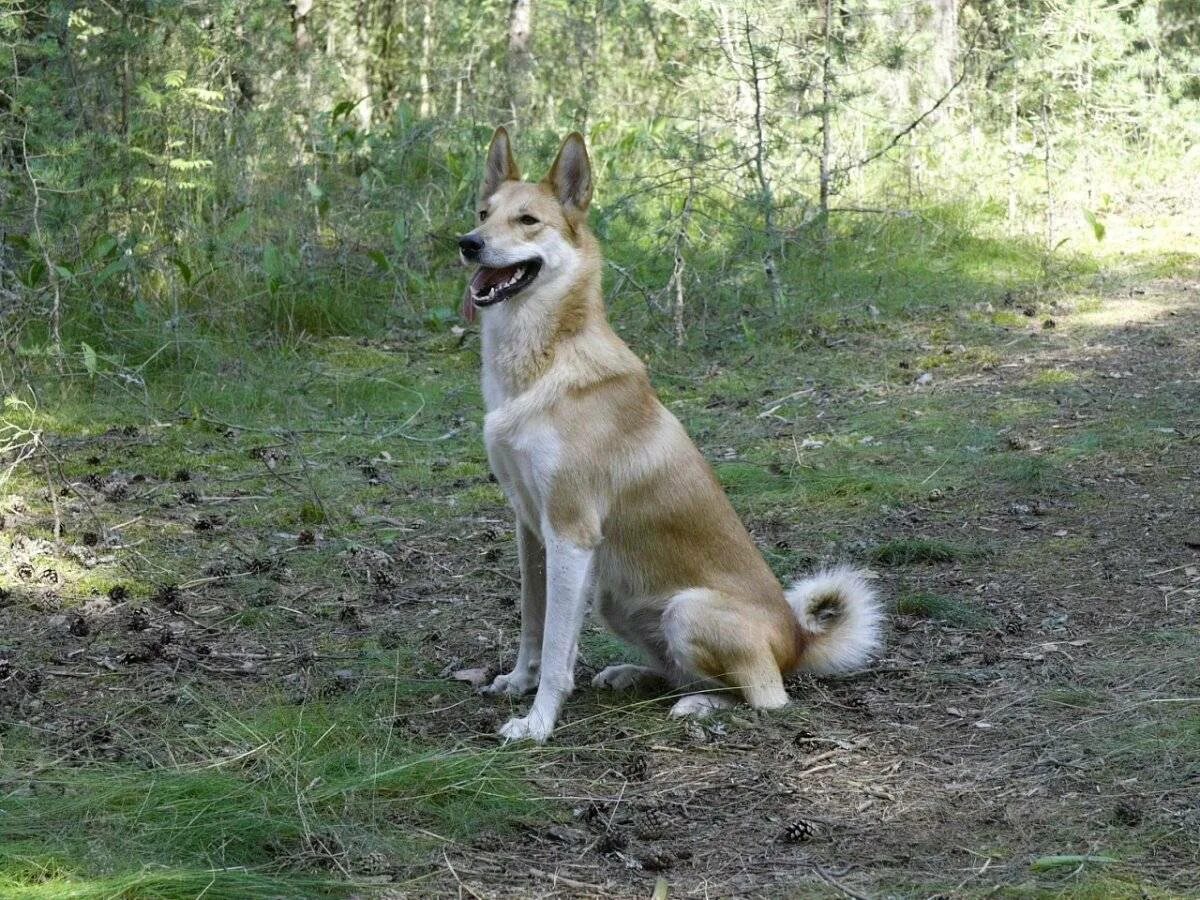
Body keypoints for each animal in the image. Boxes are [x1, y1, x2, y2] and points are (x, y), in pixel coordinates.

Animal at [458, 128, 883, 748]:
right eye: (483, 214)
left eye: (528, 220)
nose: (467, 244)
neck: (543, 361)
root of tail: (799, 640)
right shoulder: (531, 530)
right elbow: (533, 625)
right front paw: (518, 681)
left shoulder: (571, 535)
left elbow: (558, 650)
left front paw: (538, 723)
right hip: (615, 599)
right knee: (679, 671)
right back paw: (636, 674)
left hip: (686, 609)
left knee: (764, 695)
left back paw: (700, 706)